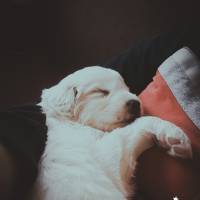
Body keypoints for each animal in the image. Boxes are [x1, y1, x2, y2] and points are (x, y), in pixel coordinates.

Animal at [31, 67, 192, 200]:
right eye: (101, 92)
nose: (136, 103)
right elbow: (135, 126)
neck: (72, 124)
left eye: (127, 88)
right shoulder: (106, 158)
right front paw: (175, 136)